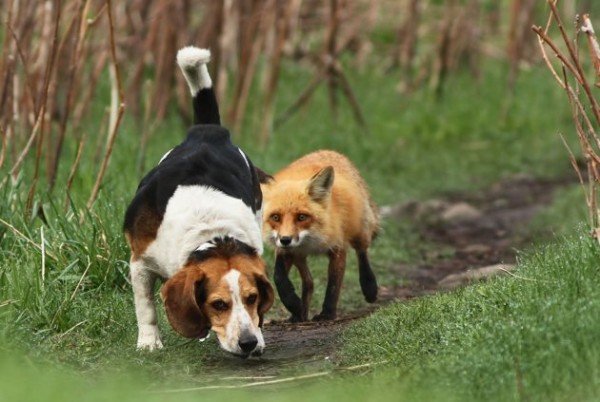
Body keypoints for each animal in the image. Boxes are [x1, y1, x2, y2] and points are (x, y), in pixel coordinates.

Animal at [260, 149, 378, 322]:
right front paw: (293, 304)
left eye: (302, 217)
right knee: (309, 282)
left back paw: (369, 287)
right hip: (299, 257)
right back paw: (299, 314)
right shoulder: (286, 251)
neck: (311, 241)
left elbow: (333, 285)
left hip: (359, 230)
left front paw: (327, 313)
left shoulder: (337, 248)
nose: (285, 240)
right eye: (275, 217)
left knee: (362, 253)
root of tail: (330, 151)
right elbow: (279, 277)